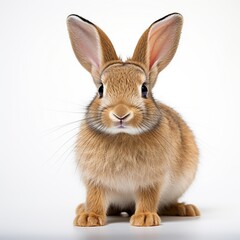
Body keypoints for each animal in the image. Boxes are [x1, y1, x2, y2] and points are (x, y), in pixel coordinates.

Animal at [66, 13, 200, 227]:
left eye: (144, 89)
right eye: (101, 89)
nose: (121, 113)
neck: (122, 135)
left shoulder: (150, 181)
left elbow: (148, 197)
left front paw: (144, 218)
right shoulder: (96, 181)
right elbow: (95, 197)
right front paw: (89, 218)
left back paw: (184, 209)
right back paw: (83, 208)